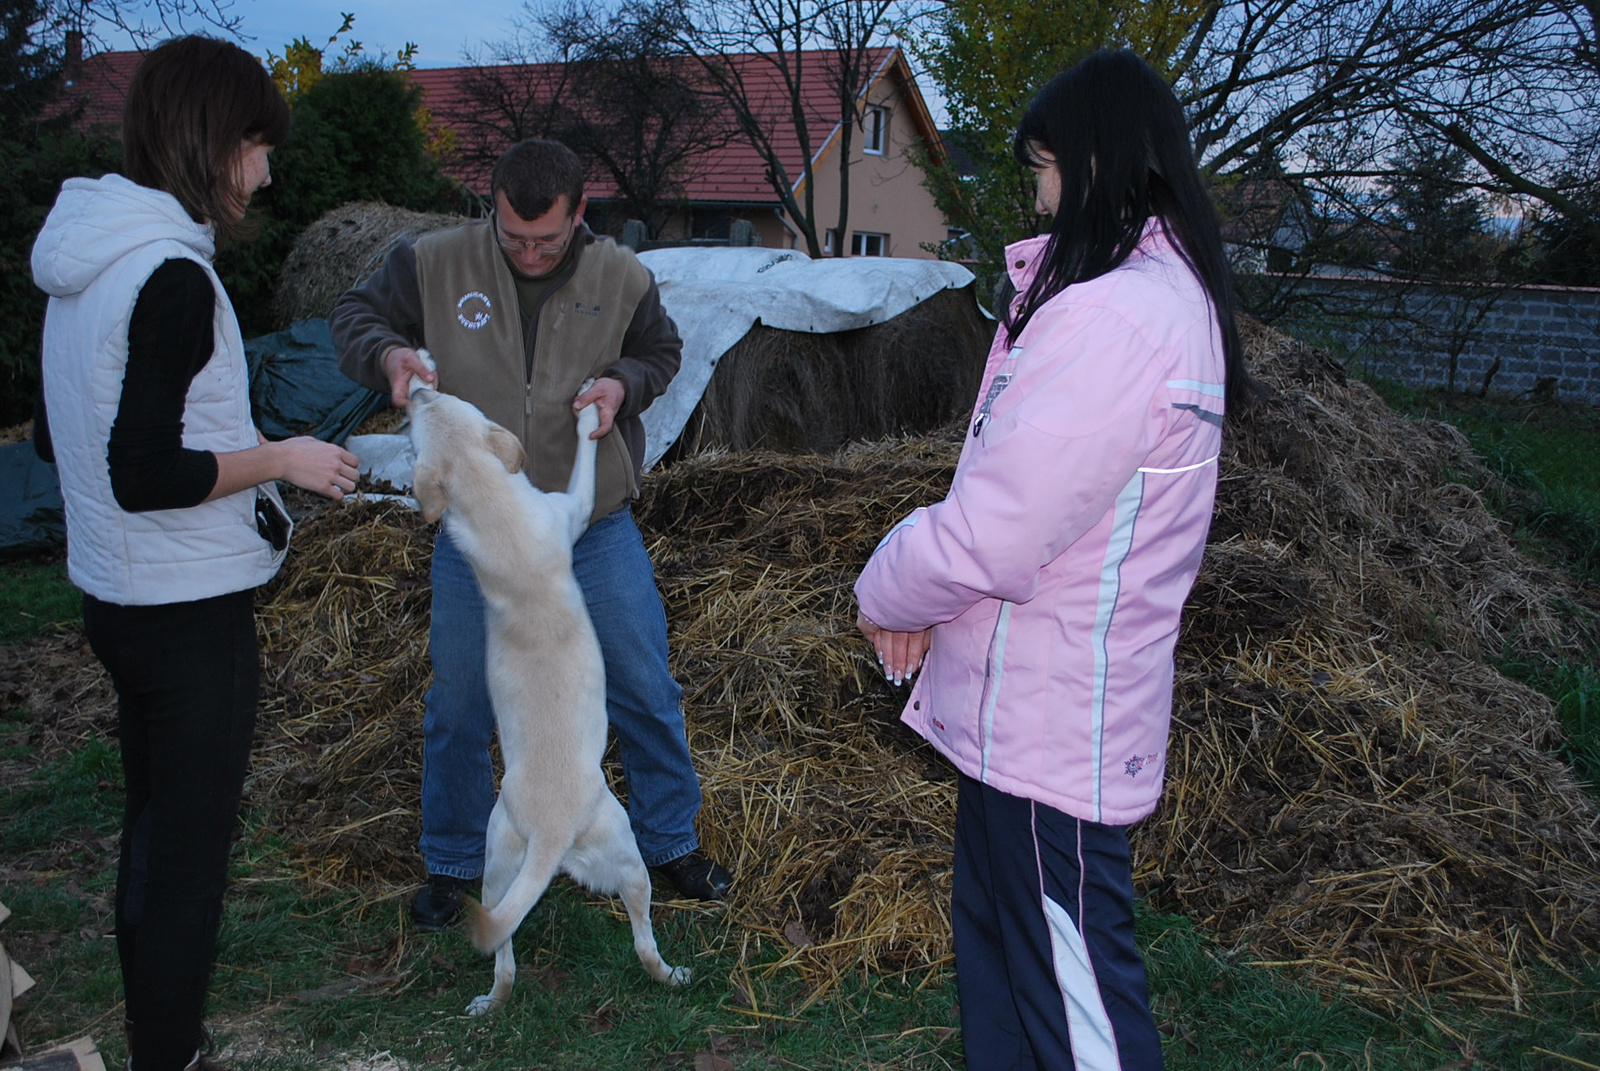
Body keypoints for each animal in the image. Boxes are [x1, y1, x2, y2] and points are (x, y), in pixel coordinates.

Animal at [406, 385, 688, 1018]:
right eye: (419, 414)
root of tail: (551, 837)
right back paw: (674, 976)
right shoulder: (573, 510)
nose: (416, 386)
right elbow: (586, 456)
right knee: (643, 942)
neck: (488, 500)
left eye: (435, 402)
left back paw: (490, 1002)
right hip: (628, 857)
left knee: (504, 952)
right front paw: (590, 414)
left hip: (497, 868)